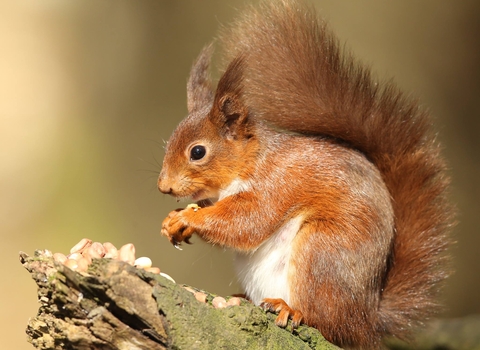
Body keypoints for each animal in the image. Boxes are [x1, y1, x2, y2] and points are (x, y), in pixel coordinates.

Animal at [158, 1, 454, 348]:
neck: (251, 162)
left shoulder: (277, 184)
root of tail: (368, 320)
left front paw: (187, 219)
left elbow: (246, 223)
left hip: (322, 253)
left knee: (328, 323)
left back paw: (292, 309)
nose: (163, 186)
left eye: (197, 152)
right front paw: (173, 221)